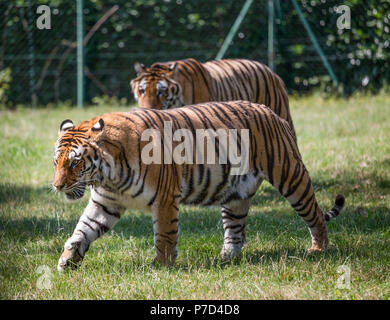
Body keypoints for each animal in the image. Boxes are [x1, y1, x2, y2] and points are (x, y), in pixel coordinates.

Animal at [52, 100, 344, 270]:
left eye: (75, 163)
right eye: (56, 162)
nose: (56, 186)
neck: (109, 176)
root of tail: (272, 112)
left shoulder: (165, 198)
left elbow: (165, 235)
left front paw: (161, 266)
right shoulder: (106, 202)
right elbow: (84, 229)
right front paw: (68, 259)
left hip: (291, 177)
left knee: (315, 214)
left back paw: (318, 249)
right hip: (235, 196)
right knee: (236, 231)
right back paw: (226, 259)